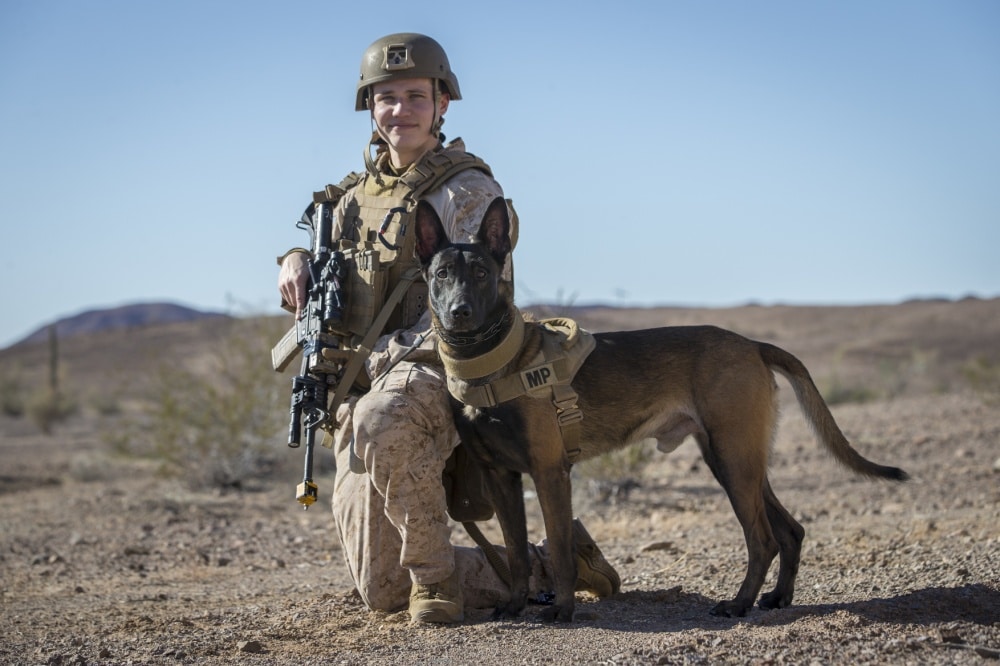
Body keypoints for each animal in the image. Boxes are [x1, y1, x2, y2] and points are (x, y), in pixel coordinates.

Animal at [414, 195, 908, 620]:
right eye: (442, 274)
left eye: (481, 272)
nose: (459, 312)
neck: (491, 363)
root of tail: (751, 344)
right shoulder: (500, 477)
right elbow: (515, 551)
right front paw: (516, 605)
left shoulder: (550, 471)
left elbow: (558, 549)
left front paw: (562, 610)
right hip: (735, 459)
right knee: (790, 530)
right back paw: (777, 597)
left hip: (733, 459)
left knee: (763, 539)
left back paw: (739, 604)